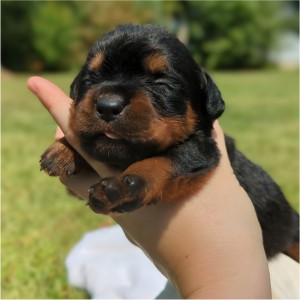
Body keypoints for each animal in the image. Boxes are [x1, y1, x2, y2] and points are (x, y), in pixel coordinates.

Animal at [39, 24, 298, 260]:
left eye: (161, 83)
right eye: (90, 79)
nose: (108, 105)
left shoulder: (203, 149)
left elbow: (165, 160)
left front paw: (123, 186)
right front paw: (64, 149)